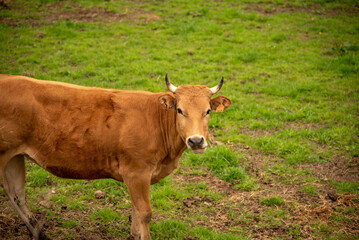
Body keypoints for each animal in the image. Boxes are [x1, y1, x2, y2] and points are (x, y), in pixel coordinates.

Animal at [0, 74, 233, 239]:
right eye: (179, 110)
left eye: (208, 111)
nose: (196, 141)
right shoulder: (136, 172)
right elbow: (145, 212)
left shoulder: (139, 176)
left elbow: (137, 210)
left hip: (14, 157)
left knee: (17, 194)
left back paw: (40, 233)